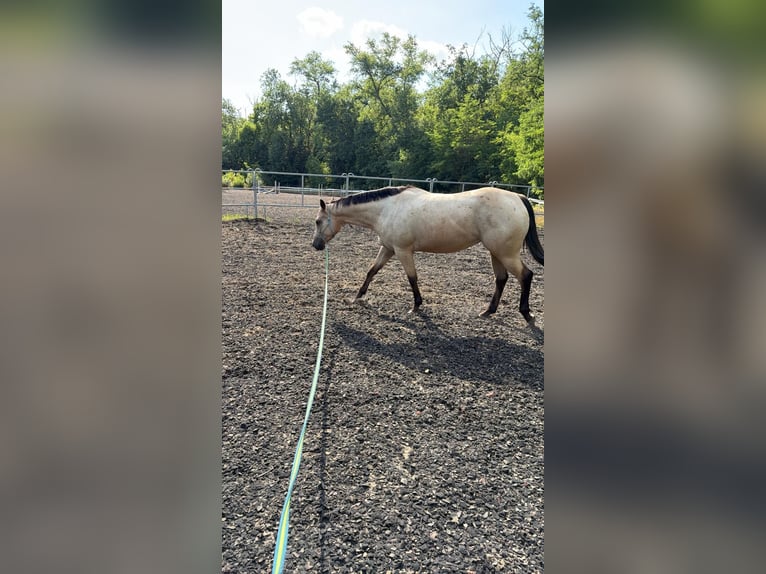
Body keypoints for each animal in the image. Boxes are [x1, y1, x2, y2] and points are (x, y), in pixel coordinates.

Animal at [311, 185, 544, 323]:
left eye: (318, 221)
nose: (316, 245)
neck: (387, 209)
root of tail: (518, 197)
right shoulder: (388, 248)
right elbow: (371, 272)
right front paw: (356, 297)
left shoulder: (403, 251)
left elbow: (412, 278)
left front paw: (415, 307)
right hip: (496, 253)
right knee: (501, 279)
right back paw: (488, 311)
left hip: (506, 254)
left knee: (526, 275)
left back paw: (526, 313)